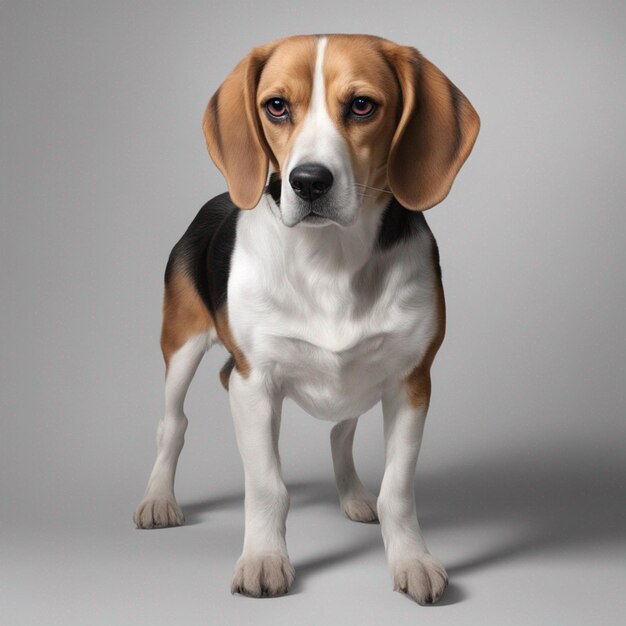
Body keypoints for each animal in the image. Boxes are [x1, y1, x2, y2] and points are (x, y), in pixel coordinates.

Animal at [133, 31, 478, 604]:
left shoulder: (412, 381)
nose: (309, 181)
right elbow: (266, 485)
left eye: (361, 105)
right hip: (181, 345)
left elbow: (398, 490)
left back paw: (354, 495)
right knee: (173, 423)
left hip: (361, 379)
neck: (330, 258)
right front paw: (263, 559)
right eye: (276, 106)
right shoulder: (255, 382)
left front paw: (412, 560)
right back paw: (159, 498)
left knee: (340, 431)